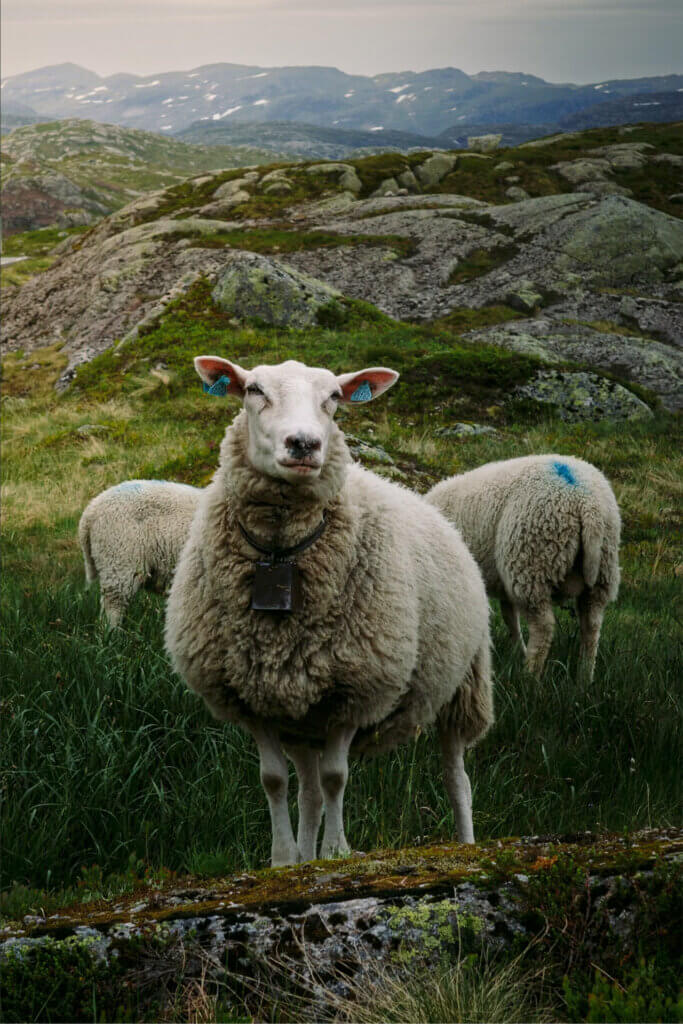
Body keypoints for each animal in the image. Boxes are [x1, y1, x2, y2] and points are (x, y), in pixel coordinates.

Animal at [165, 358, 497, 864]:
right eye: (254, 389)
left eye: (335, 397)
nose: (304, 444)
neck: (280, 554)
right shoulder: (251, 698)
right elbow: (275, 781)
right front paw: (284, 860)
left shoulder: (354, 688)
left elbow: (336, 778)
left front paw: (338, 853)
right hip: (302, 719)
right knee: (308, 791)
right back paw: (305, 855)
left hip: (465, 685)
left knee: (456, 777)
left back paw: (465, 844)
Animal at [430, 456, 622, 679]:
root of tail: (587, 503)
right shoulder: (501, 584)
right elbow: (509, 616)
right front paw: (515, 649)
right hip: (603, 571)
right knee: (591, 625)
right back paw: (584, 677)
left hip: (531, 562)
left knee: (544, 627)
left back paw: (529, 675)